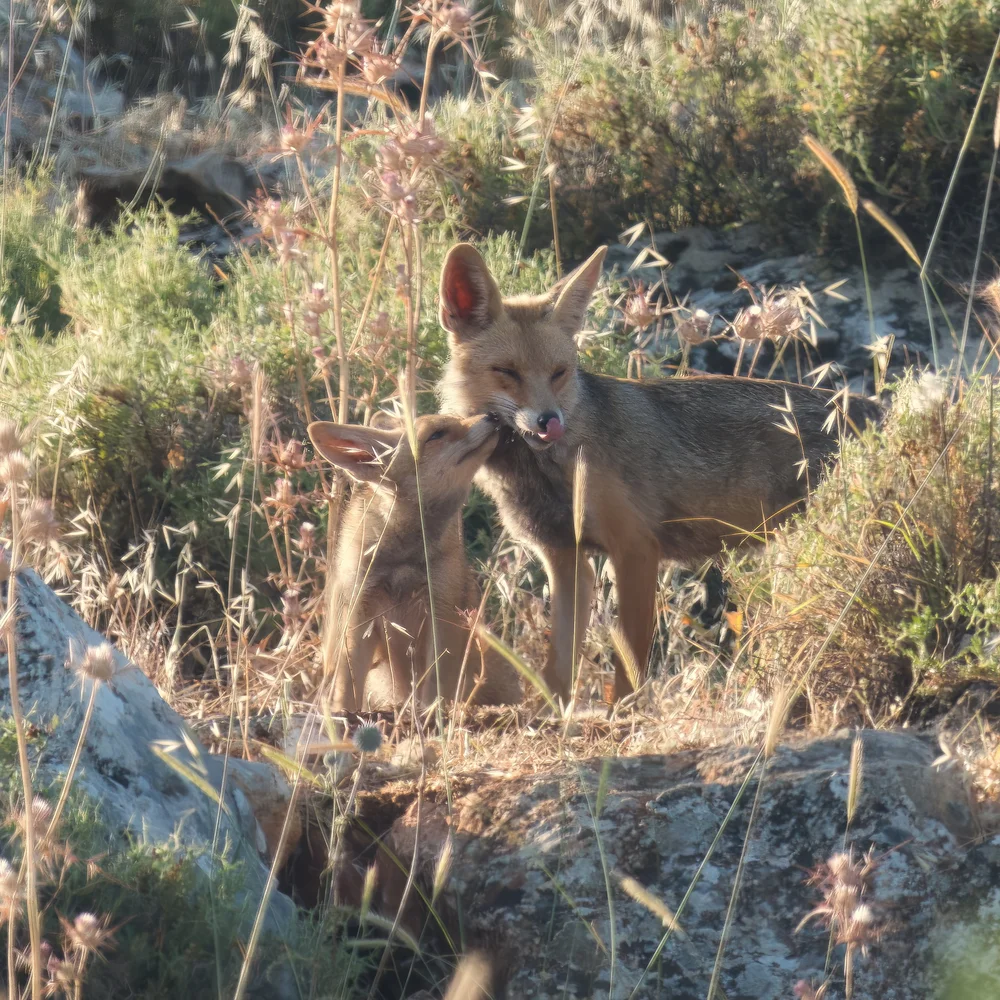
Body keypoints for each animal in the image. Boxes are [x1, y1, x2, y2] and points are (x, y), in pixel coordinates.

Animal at [308, 411, 521, 713]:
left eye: (460, 418)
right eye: (437, 434)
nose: (493, 415)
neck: (403, 559)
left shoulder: (442, 609)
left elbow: (435, 688)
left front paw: (435, 716)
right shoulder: (361, 612)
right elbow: (346, 687)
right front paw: (340, 717)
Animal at [436, 242, 882, 702]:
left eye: (559, 373)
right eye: (507, 372)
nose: (549, 422)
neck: (548, 474)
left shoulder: (635, 549)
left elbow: (629, 665)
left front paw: (622, 712)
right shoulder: (566, 559)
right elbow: (558, 670)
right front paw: (553, 714)